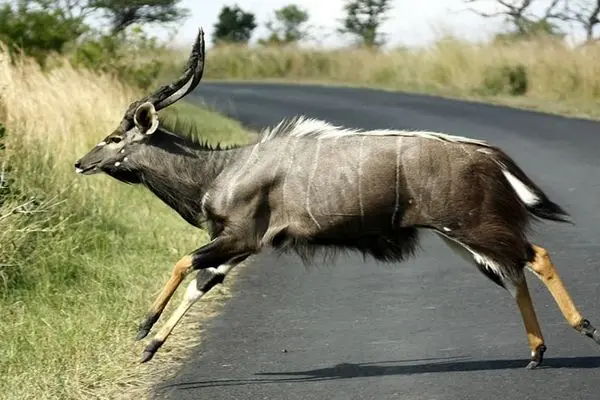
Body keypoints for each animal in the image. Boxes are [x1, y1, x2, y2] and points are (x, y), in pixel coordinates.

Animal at [75, 26, 600, 368]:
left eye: (114, 138)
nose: (81, 162)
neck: (218, 171)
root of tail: (489, 155)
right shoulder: (238, 247)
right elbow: (201, 281)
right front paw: (150, 347)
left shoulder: (241, 238)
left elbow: (184, 263)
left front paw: (143, 328)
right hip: (461, 238)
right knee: (513, 273)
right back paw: (536, 352)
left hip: (471, 226)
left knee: (536, 256)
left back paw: (582, 328)